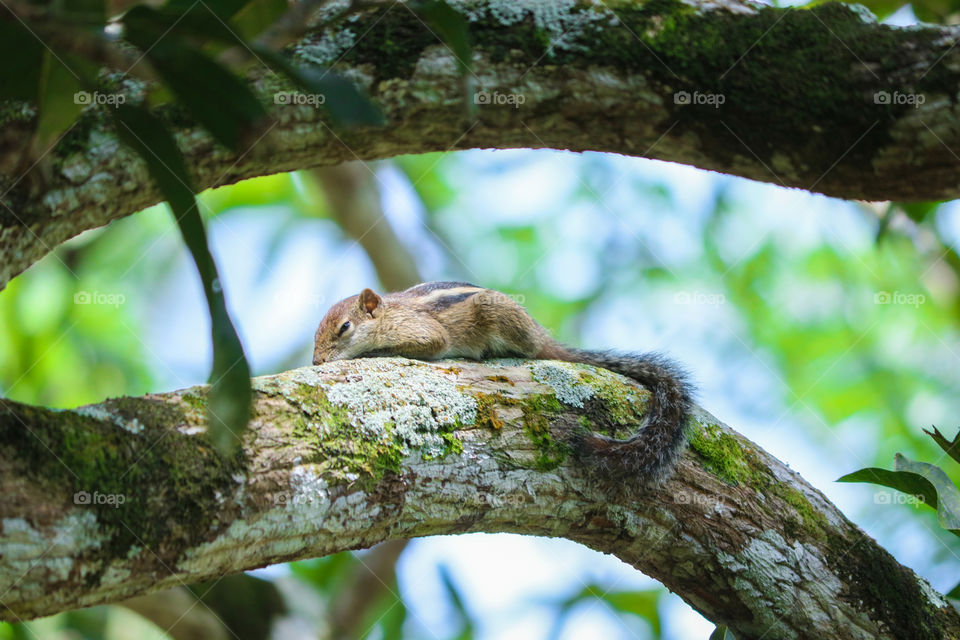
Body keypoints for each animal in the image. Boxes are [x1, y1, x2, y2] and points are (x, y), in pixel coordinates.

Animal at [312, 282, 692, 482]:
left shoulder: (424, 333)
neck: (390, 314)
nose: (316, 361)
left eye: (344, 327)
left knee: (532, 350)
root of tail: (540, 334)